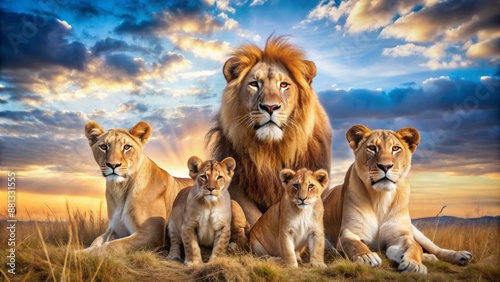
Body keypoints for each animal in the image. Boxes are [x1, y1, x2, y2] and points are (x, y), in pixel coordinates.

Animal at [83, 120, 192, 252]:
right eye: (103, 147)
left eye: (127, 147)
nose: (113, 165)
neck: (120, 189)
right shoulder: (115, 229)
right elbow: (96, 241)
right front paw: (80, 251)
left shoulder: (152, 233)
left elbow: (112, 245)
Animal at [207, 35, 332, 227]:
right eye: (254, 84)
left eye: (284, 85)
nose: (270, 107)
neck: (271, 150)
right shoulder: (236, 187)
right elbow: (255, 218)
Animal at [324, 125, 472, 274]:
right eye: (372, 148)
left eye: (395, 148)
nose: (385, 166)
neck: (381, 198)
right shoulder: (350, 232)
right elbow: (354, 244)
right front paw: (366, 257)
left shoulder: (402, 236)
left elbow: (415, 247)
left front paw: (414, 264)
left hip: (414, 230)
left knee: (434, 248)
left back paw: (460, 255)